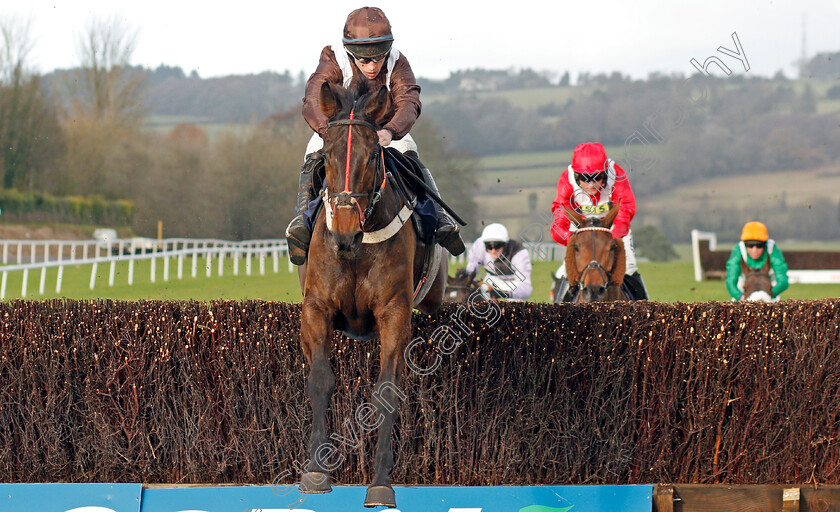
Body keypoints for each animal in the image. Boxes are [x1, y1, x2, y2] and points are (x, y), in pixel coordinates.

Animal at [298, 80, 450, 508]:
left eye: (371, 158)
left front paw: (381, 481)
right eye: (326, 158)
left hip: (431, 300)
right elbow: (320, 378)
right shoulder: (316, 308)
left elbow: (386, 391)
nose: (345, 232)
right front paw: (316, 470)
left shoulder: (395, 312)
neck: (357, 248)